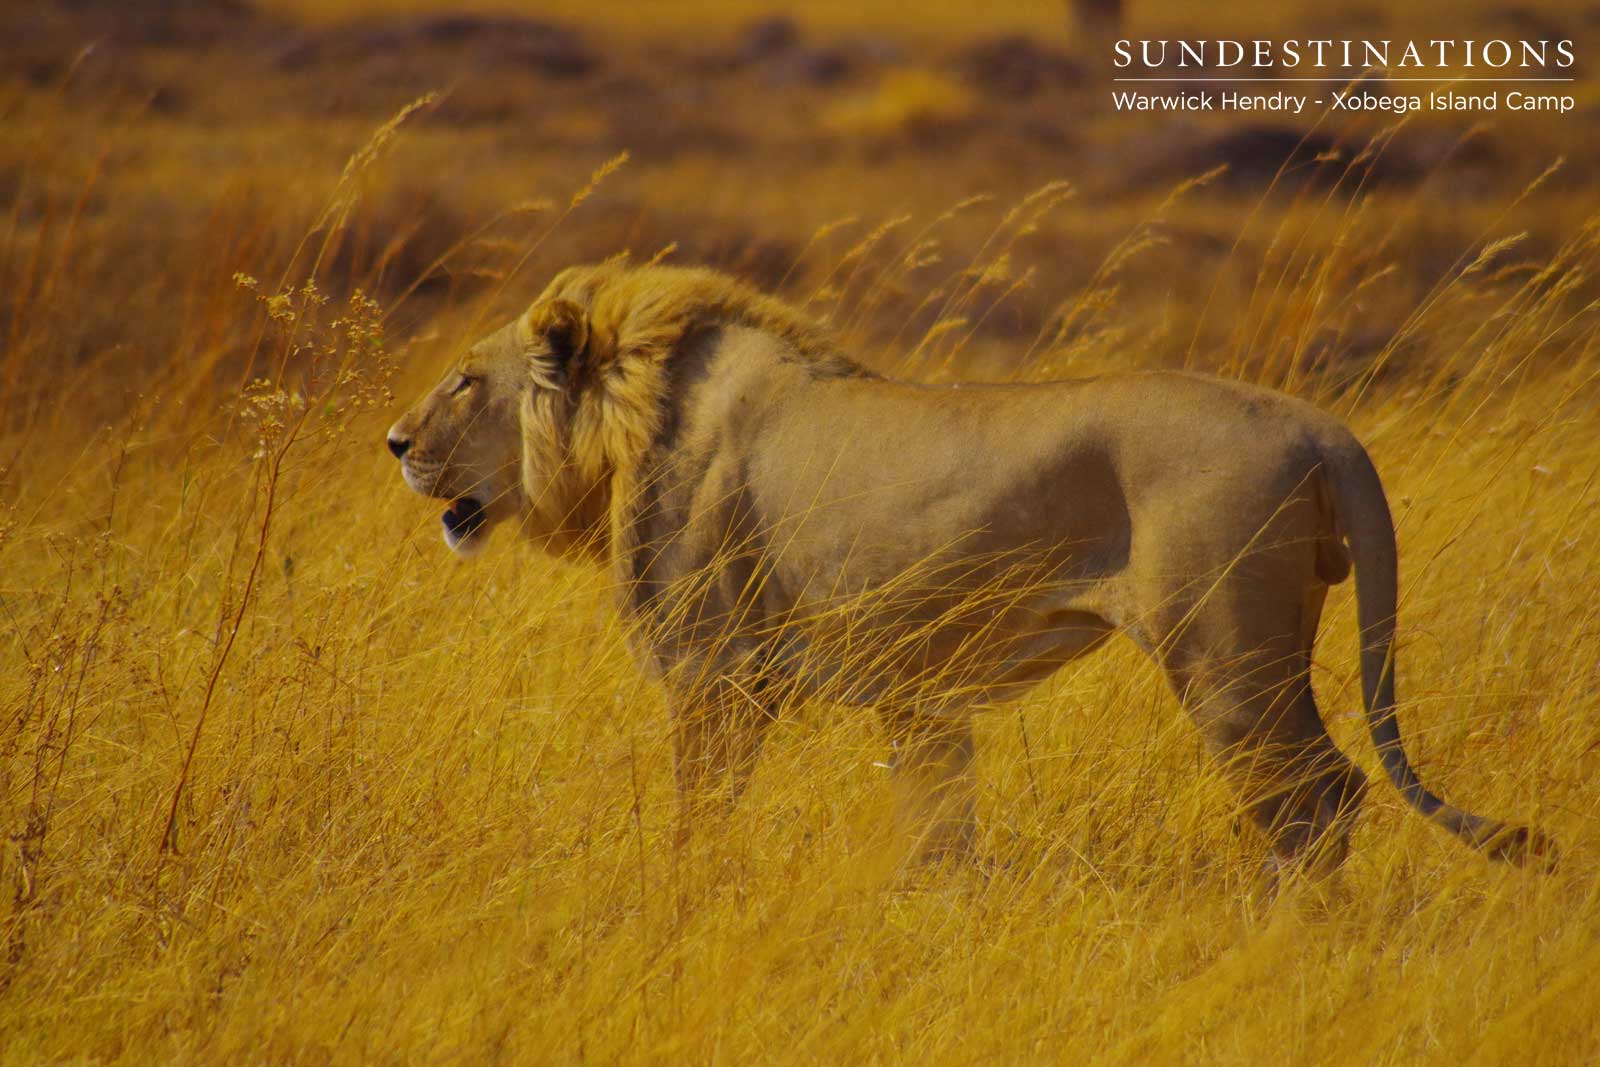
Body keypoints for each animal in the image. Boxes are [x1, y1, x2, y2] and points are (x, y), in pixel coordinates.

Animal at [386, 261, 1552, 876]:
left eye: (464, 380)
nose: (393, 442)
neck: (628, 425)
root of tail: (1325, 427)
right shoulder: (919, 702)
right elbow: (939, 838)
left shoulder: (715, 675)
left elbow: (699, 820)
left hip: (1228, 656)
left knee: (1321, 798)